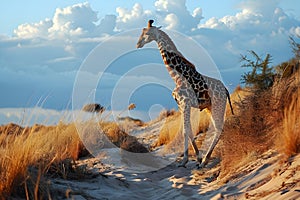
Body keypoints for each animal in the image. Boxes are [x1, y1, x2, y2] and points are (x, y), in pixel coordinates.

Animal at [137, 19, 234, 167]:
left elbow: (184, 131)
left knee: (218, 128)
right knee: (218, 128)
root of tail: (226, 90)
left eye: (147, 33)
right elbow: (189, 130)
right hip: (210, 107)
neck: (177, 77)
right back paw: (204, 160)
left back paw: (205, 161)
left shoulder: (185, 103)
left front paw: (184, 160)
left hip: (219, 105)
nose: (138, 44)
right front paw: (197, 157)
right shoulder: (180, 105)